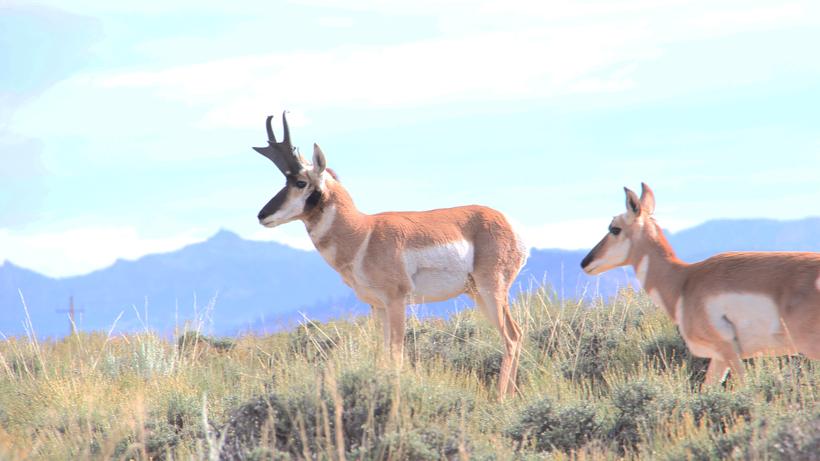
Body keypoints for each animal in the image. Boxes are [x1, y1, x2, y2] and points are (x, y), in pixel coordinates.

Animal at [251, 113, 528, 397]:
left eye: (300, 182)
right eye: (284, 182)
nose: (262, 215)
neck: (363, 233)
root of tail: (508, 222)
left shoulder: (396, 301)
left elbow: (397, 355)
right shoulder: (378, 307)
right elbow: (383, 356)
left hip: (490, 289)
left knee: (511, 337)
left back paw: (501, 398)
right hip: (477, 293)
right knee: (516, 334)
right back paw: (512, 395)